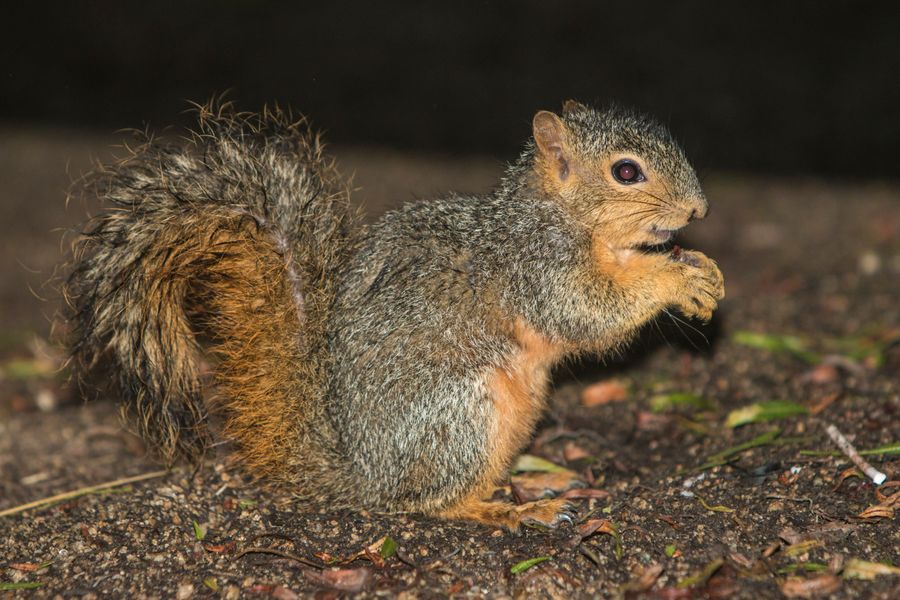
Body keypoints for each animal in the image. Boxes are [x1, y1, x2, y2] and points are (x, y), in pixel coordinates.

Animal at [63, 101, 724, 532]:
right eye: (626, 172)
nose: (699, 209)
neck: (564, 218)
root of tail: (362, 475)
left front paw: (699, 268)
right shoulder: (540, 269)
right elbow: (589, 312)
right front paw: (678, 278)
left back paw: (533, 480)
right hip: (462, 412)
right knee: (432, 501)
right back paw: (509, 510)